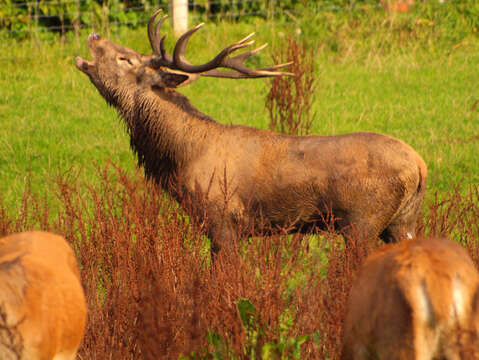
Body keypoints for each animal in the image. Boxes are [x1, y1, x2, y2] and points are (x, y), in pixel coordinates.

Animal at [75, 10, 428, 253]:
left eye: (125, 59)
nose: (94, 35)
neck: (181, 158)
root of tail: (420, 166)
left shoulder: (224, 222)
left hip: (361, 222)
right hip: (402, 221)